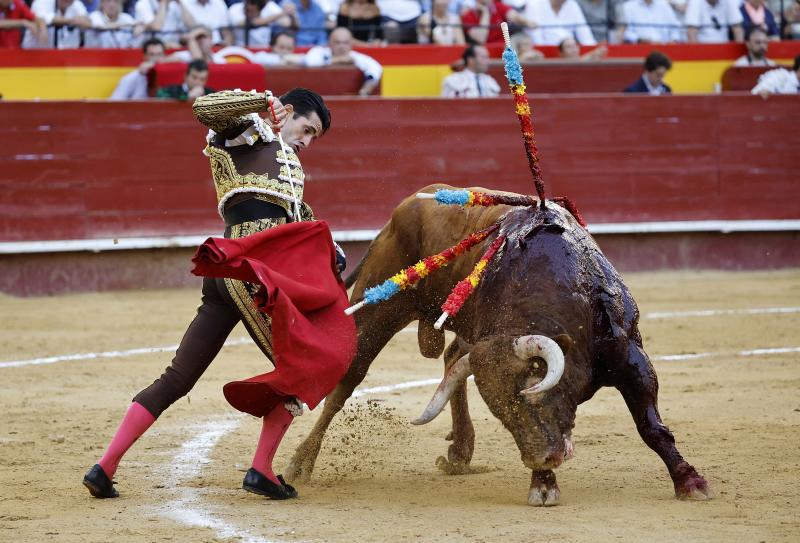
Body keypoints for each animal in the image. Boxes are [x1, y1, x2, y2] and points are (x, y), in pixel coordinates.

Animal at [284, 186, 708, 506]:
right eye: (503, 415)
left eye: (535, 393)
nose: (545, 458)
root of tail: (404, 209)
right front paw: (543, 484)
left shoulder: (631, 357)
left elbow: (652, 427)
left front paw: (689, 481)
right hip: (377, 307)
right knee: (346, 382)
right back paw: (300, 463)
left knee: (452, 358)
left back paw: (460, 452)